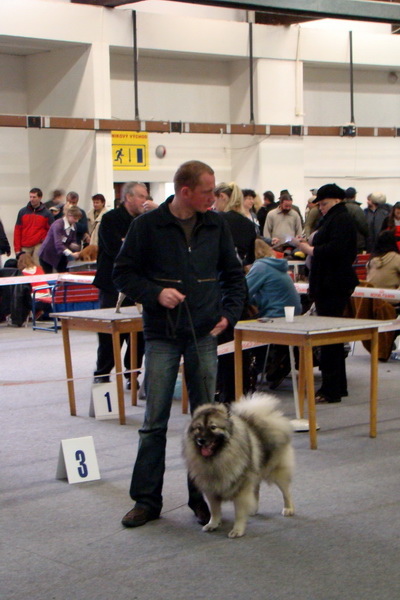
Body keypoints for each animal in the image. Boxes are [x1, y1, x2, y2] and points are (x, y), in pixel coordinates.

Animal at [184, 394, 294, 540]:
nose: (201, 440)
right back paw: (253, 509)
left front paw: (237, 530)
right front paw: (213, 524)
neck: (217, 458)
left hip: (276, 472)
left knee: (286, 492)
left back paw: (288, 508)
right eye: (199, 428)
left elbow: (239, 513)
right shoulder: (211, 489)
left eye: (213, 427)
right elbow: (215, 510)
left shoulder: (241, 489)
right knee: (256, 489)